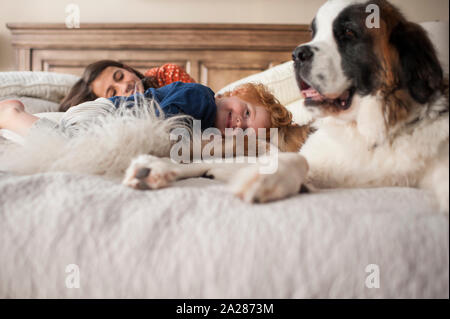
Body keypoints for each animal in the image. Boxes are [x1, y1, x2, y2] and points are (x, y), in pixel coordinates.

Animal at [124, 0, 450, 215]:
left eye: (348, 33)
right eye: (313, 33)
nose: (298, 54)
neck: (366, 135)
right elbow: (296, 159)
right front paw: (270, 178)